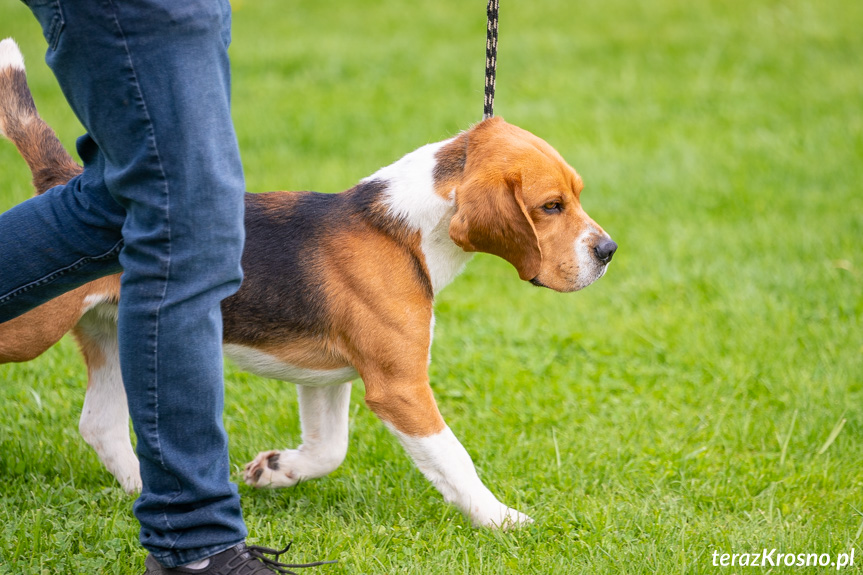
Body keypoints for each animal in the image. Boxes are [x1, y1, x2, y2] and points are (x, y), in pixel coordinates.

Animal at [3, 38, 616, 528]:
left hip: (111, 330)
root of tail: (62, 181)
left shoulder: (326, 379)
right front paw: (503, 520)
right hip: (33, 330)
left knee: (100, 425)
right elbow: (453, 459)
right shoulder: (401, 386)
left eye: (578, 194)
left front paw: (276, 470)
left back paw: (145, 494)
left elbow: (329, 449)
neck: (406, 229)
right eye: (551, 206)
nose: (608, 252)